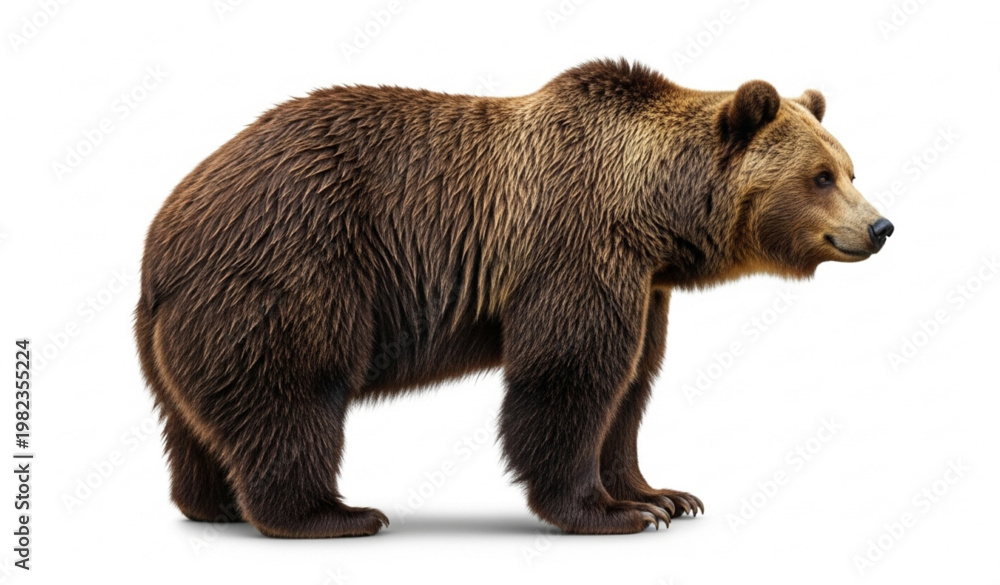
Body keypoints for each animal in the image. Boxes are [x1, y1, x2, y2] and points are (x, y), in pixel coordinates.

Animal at [135, 58, 893, 538]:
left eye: (850, 168)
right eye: (820, 176)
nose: (880, 226)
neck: (653, 216)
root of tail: (162, 235)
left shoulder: (645, 286)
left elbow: (633, 383)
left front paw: (664, 495)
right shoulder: (576, 247)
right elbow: (570, 373)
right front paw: (610, 512)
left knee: (194, 418)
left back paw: (215, 504)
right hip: (293, 264)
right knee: (293, 391)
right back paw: (332, 514)